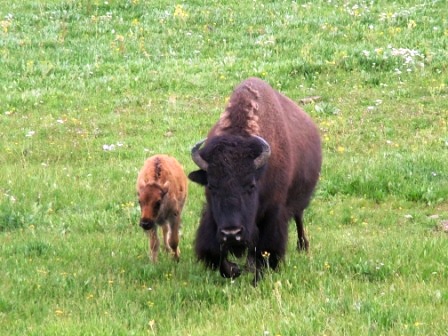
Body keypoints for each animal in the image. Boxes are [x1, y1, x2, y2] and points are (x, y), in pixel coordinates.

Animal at [189, 78, 322, 284]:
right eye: (211, 186)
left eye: (251, 185)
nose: (231, 234)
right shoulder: (212, 217)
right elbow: (214, 252)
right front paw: (235, 270)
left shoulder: (273, 213)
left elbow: (265, 251)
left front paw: (256, 279)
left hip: (299, 201)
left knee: (298, 218)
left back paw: (302, 247)